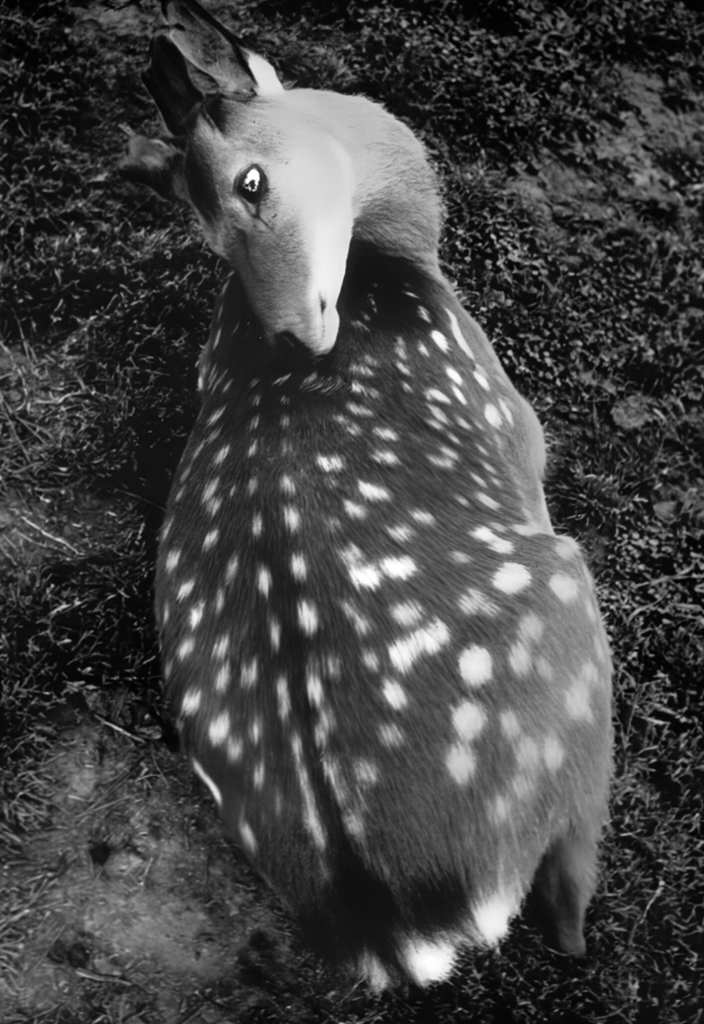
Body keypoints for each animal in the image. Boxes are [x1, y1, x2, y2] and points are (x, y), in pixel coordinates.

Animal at [118, 0, 613, 991]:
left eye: (248, 187)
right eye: (212, 223)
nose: (299, 333)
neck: (403, 256)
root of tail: (397, 920)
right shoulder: (521, 431)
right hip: (568, 598)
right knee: (572, 872)